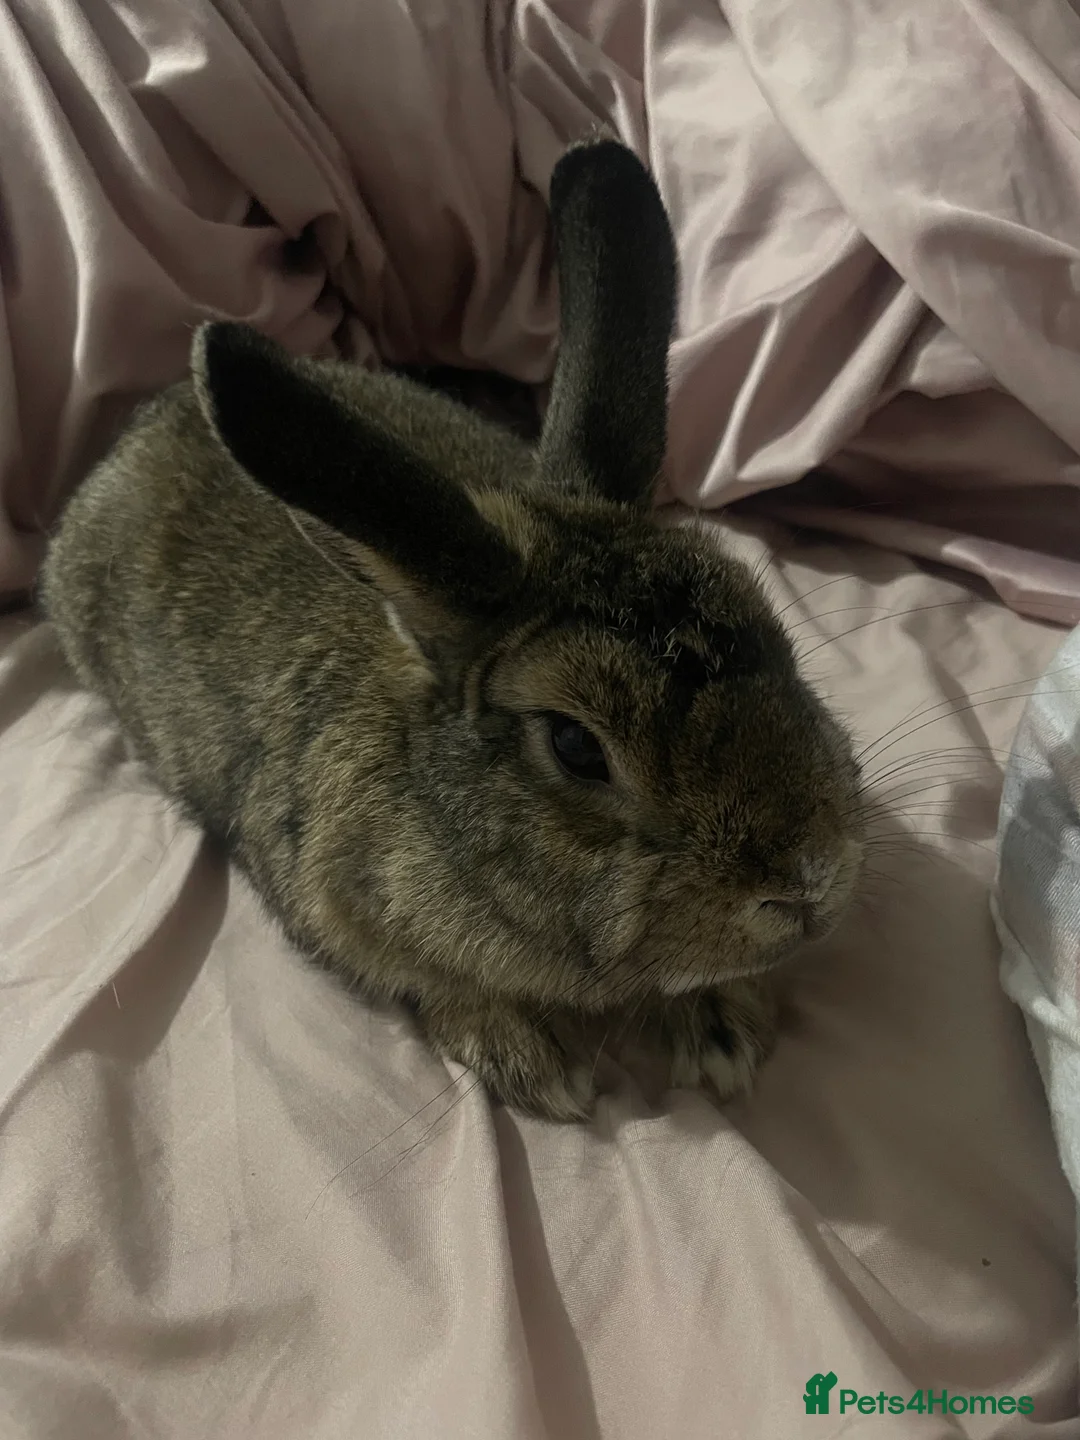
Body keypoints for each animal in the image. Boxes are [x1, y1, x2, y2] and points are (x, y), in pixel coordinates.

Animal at [41, 139, 864, 1122]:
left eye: (772, 630)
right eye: (576, 748)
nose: (810, 883)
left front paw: (721, 1026)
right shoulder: (330, 906)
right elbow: (430, 983)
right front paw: (532, 1060)